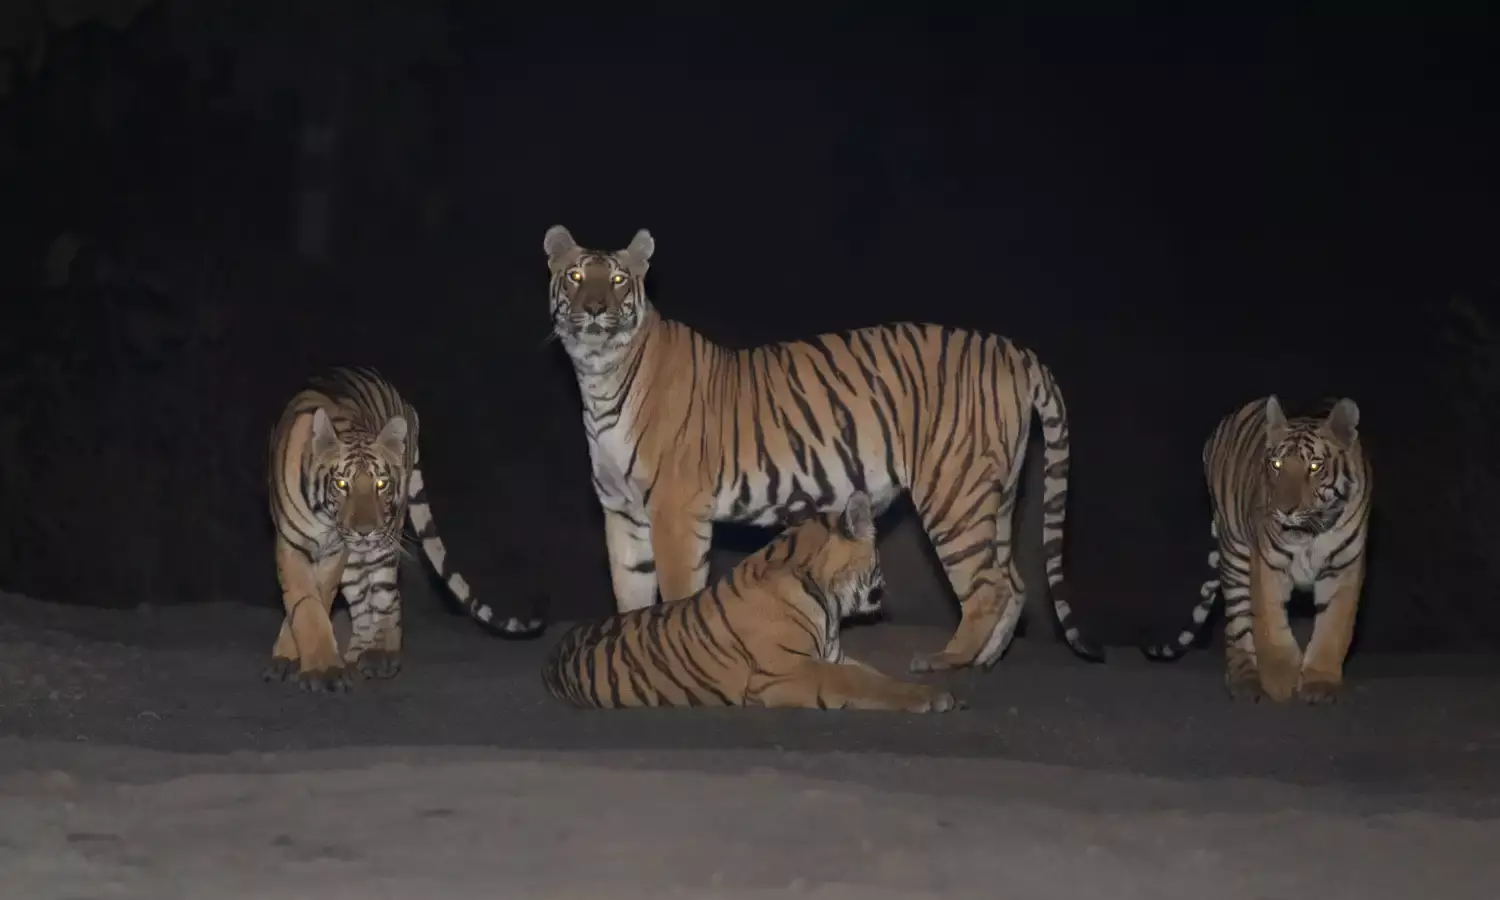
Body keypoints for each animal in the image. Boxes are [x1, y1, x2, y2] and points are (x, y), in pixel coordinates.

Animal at [265, 366, 544, 692]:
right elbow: (305, 604)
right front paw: (297, 660)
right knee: (361, 601)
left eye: (381, 484)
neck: (325, 516)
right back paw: (356, 654)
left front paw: (323, 670)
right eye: (342, 484)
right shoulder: (292, 545)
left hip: (386, 541)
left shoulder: (335, 552)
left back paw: (380, 655)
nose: (365, 531)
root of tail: (404, 402)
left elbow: (315, 601)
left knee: (385, 595)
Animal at [542, 490, 960, 711]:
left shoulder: (832, 657)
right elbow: (859, 682)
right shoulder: (784, 672)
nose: (884, 585)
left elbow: (874, 675)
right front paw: (933, 698)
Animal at [543, 224, 1102, 674]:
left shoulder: (674, 512)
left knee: (991, 586)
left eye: (618, 280)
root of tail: (1013, 348)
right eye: (576, 276)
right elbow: (631, 591)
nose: (595, 308)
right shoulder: (623, 511)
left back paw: (949, 661)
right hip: (995, 492)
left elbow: (677, 593)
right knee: (1015, 582)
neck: (598, 376)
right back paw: (985, 660)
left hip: (954, 491)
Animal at [1142, 394, 1372, 704]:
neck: (1309, 532)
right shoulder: (1267, 563)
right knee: (1237, 623)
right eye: (1276, 464)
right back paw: (1245, 681)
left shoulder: (1343, 569)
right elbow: (1270, 625)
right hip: (1234, 554)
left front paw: (1319, 683)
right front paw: (1280, 680)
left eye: (1314, 467)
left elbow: (1333, 628)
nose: (1284, 509)